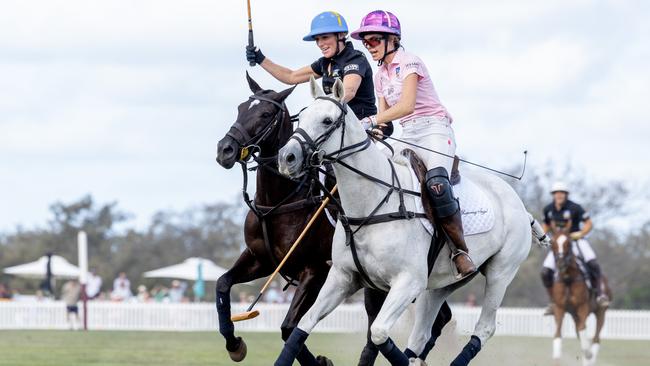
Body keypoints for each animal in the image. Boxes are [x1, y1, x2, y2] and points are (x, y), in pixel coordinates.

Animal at [215, 73, 448, 364]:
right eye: (240, 108)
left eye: (266, 113)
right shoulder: (260, 260)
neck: (280, 202)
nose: (224, 150)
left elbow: (288, 327)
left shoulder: (315, 271)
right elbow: (222, 284)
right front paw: (234, 344)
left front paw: (320, 361)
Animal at [274, 78, 548, 366]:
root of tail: (521, 206)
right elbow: (302, 325)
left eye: (327, 120)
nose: (286, 158)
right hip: (441, 284)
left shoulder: (408, 282)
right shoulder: (342, 277)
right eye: (303, 115)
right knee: (421, 333)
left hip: (501, 272)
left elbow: (378, 332)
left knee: (484, 328)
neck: (371, 206)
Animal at [548, 222, 608, 364]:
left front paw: (588, 354)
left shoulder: (583, 306)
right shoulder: (560, 308)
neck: (568, 279)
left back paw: (590, 357)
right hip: (574, 314)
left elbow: (583, 330)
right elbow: (558, 334)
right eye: (553, 243)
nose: (560, 263)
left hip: (601, 312)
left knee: (596, 338)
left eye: (568, 243)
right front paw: (557, 359)